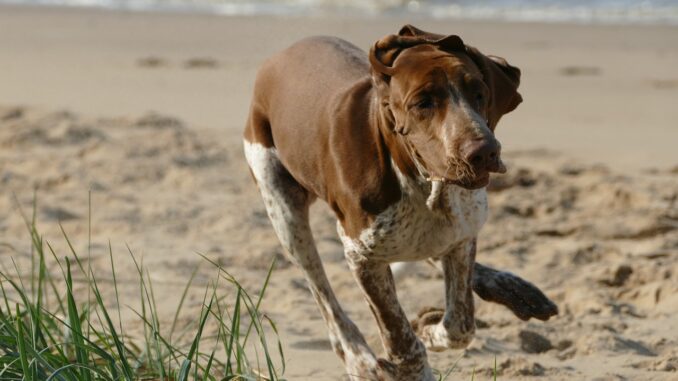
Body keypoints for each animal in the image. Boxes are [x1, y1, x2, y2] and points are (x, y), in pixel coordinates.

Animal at [244, 25, 556, 378]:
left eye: (479, 93)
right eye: (422, 102)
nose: (485, 152)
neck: (421, 183)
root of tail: (280, 55)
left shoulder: (461, 237)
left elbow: (460, 325)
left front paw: (429, 326)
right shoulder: (362, 257)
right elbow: (402, 341)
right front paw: (412, 354)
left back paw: (509, 288)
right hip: (284, 212)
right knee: (327, 303)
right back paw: (359, 360)